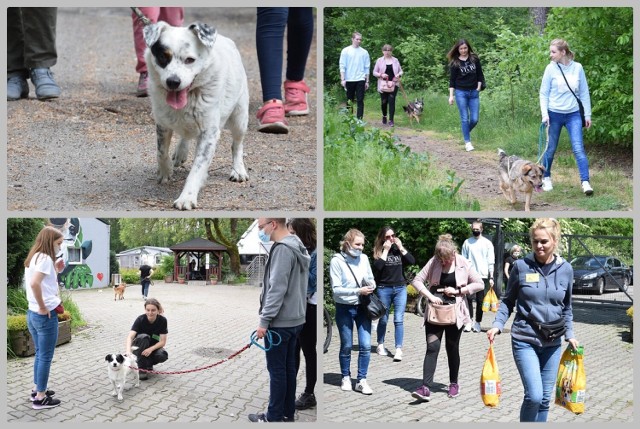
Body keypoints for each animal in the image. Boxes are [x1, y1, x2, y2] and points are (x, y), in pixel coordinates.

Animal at [144, 21, 249, 209]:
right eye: (163, 57)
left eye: (190, 60)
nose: (173, 82)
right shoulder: (162, 123)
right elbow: (161, 151)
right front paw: (165, 171)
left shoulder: (209, 133)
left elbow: (197, 169)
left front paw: (187, 197)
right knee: (185, 135)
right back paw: (180, 152)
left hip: (240, 117)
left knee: (237, 145)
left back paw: (238, 170)